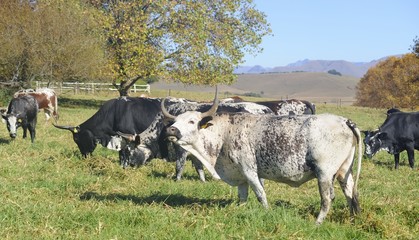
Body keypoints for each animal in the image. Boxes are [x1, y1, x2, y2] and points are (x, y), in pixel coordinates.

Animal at [162, 91, 362, 224]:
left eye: (191, 121)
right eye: (175, 121)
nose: (171, 130)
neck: (224, 133)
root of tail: (345, 121)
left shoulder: (250, 171)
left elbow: (260, 194)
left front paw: (266, 212)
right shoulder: (240, 176)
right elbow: (242, 197)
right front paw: (239, 211)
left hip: (324, 174)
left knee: (328, 199)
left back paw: (317, 223)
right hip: (345, 172)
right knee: (351, 194)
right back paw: (354, 219)